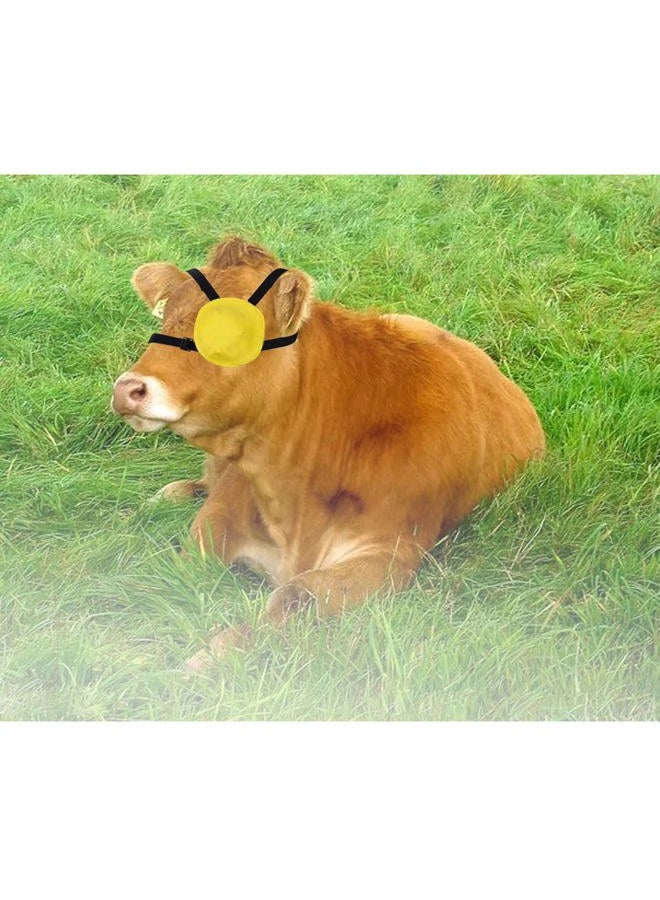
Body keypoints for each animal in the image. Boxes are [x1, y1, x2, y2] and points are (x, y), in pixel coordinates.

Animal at [112, 237, 545, 671]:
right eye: (167, 316)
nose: (127, 389)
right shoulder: (222, 509)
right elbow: (176, 567)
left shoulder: (391, 553)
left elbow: (293, 596)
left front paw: (207, 658)